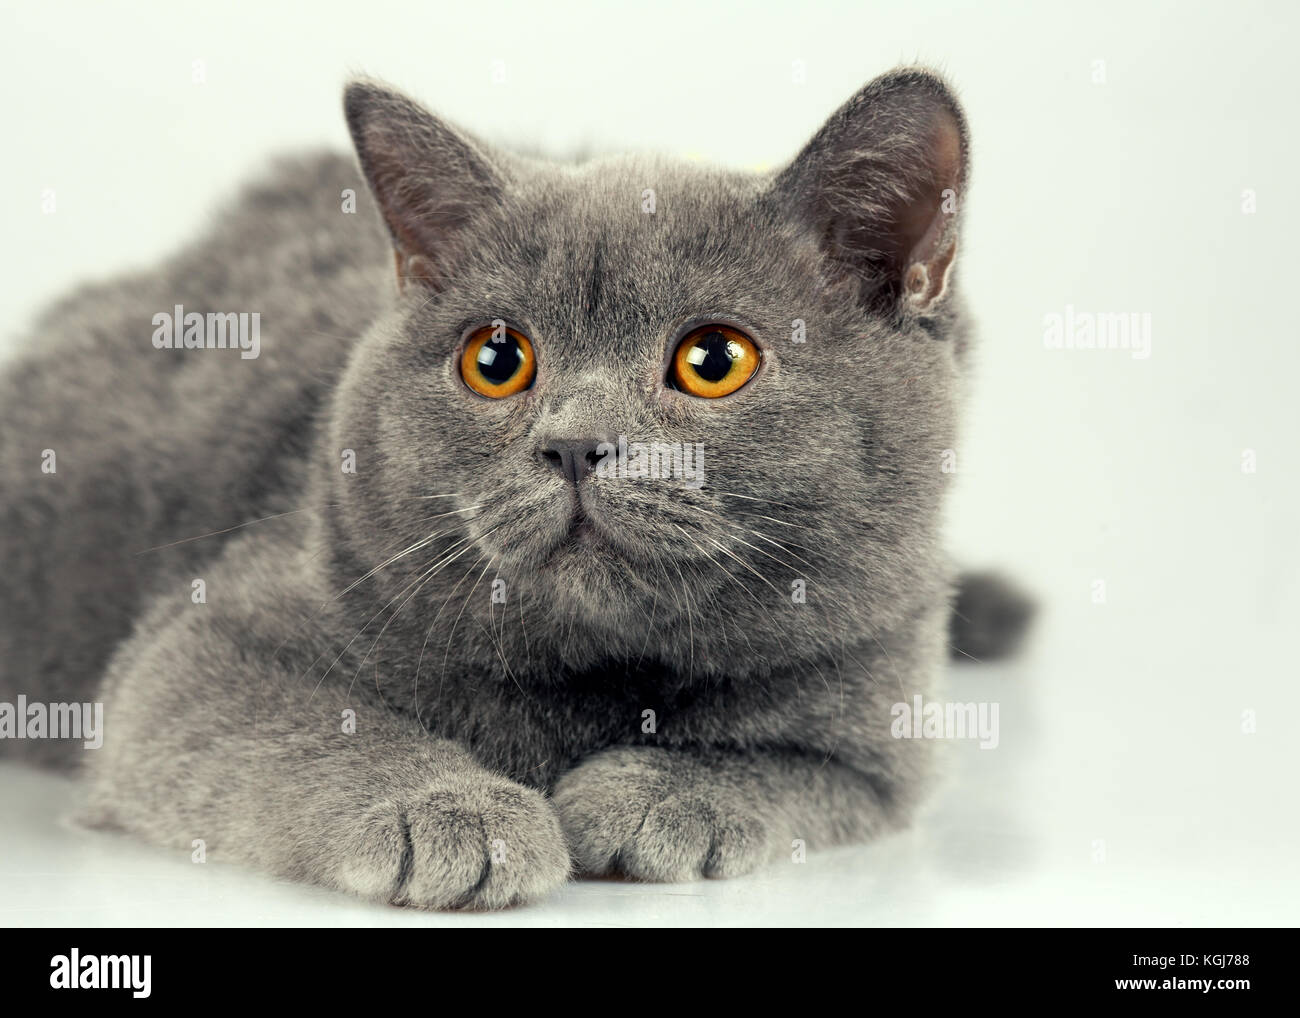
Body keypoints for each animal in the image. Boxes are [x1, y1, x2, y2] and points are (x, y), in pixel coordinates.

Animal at [0, 67, 1034, 910]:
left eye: (715, 360)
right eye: (495, 360)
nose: (574, 445)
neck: (597, 674)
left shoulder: (881, 718)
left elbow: (789, 767)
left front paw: (655, 796)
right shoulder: (204, 645)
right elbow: (305, 728)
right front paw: (450, 813)